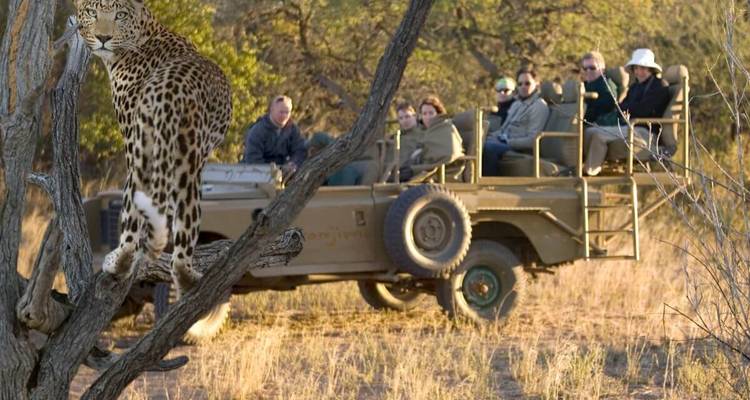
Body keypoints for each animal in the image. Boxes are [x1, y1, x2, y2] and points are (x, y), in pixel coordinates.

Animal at [76, 0, 232, 298]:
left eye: (119, 15)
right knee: (184, 230)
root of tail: (170, 90)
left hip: (144, 154)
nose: (103, 38)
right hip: (187, 164)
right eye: (92, 12)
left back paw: (118, 262)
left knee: (132, 219)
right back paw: (188, 279)